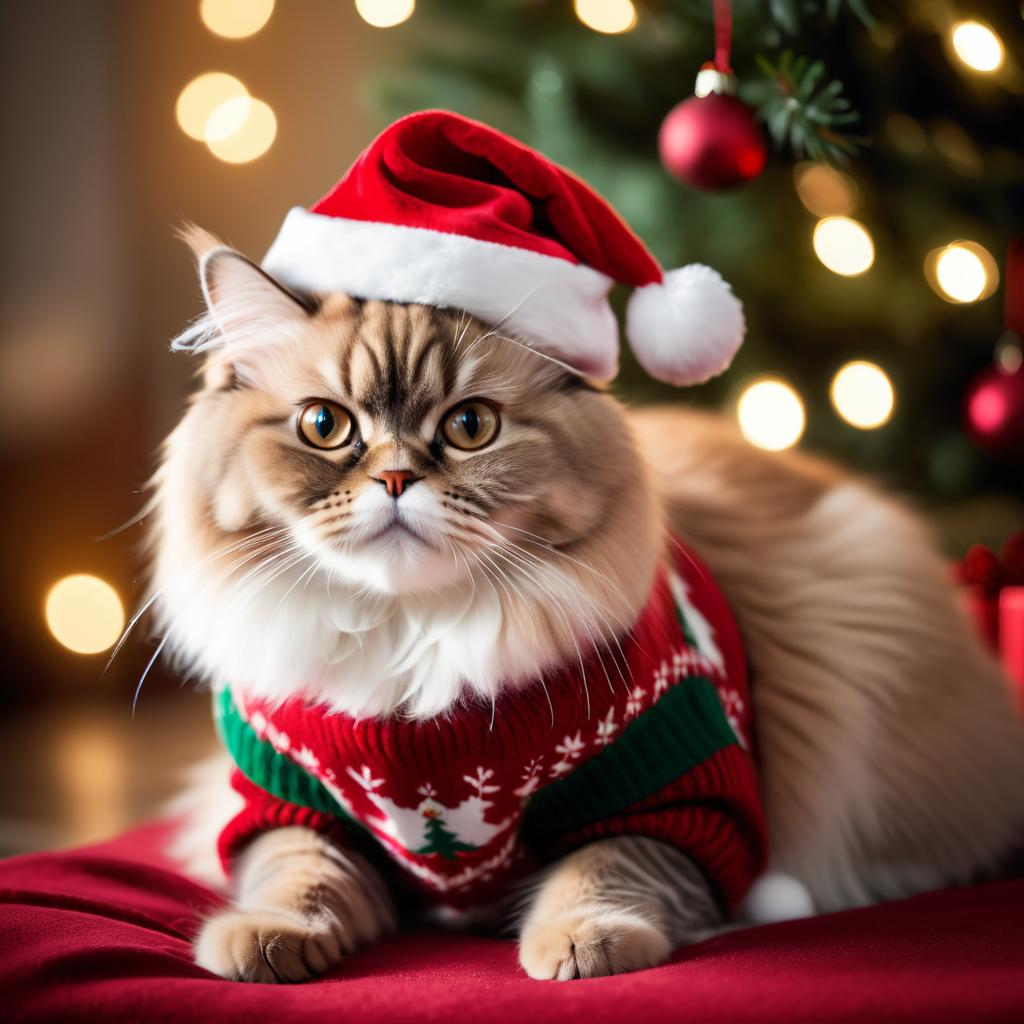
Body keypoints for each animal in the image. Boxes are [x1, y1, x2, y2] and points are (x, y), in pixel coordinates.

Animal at [155, 228, 1024, 978]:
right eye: (323, 424)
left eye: (470, 426)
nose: (396, 478)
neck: (417, 644)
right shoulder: (286, 805)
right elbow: (297, 877)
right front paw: (266, 941)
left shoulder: (678, 797)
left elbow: (605, 870)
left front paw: (579, 943)